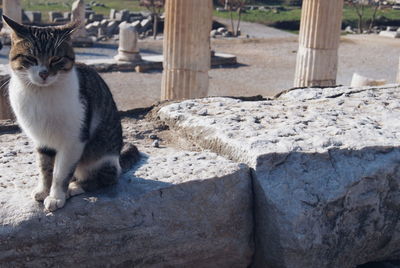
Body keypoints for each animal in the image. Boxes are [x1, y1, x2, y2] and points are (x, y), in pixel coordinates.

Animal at [3, 15, 139, 213]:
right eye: (30, 58)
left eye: (56, 58)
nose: (43, 73)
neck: (41, 94)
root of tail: (118, 160)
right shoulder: (42, 140)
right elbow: (45, 168)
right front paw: (44, 190)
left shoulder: (74, 140)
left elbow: (61, 174)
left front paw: (56, 196)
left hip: (100, 160)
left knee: (104, 178)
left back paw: (74, 187)